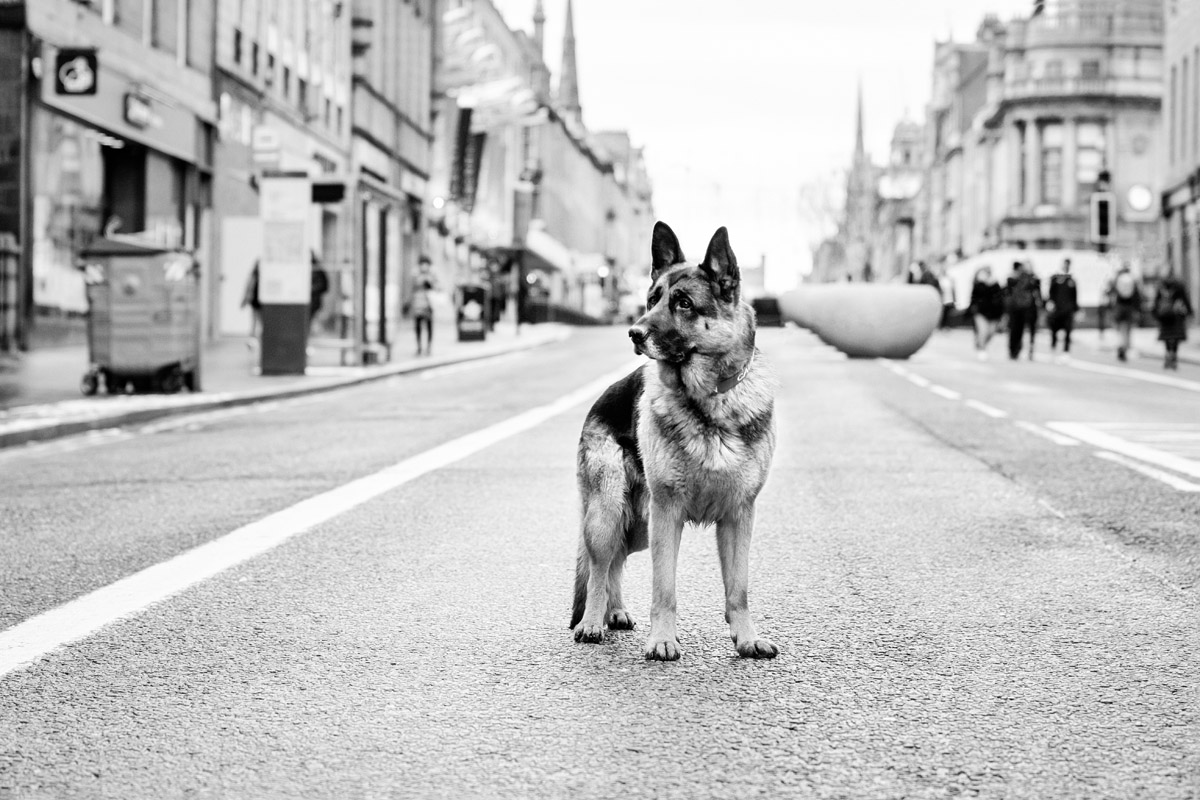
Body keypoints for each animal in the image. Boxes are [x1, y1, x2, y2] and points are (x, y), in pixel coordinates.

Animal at [568, 221, 777, 662]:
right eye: (652, 299)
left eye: (683, 303)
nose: (634, 332)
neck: (709, 400)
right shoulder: (668, 513)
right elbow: (664, 589)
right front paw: (663, 640)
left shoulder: (739, 516)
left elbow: (738, 589)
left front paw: (747, 638)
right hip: (609, 512)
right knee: (597, 567)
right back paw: (592, 622)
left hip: (637, 526)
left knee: (615, 562)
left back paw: (616, 611)